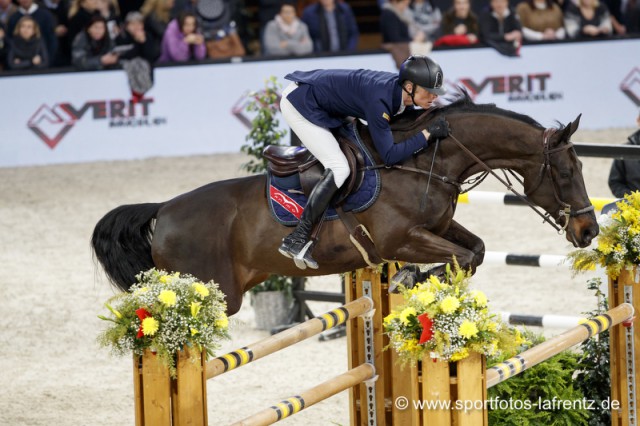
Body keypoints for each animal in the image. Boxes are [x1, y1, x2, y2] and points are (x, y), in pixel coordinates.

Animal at [91, 96, 600, 316]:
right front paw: (411, 278)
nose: (589, 232)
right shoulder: (402, 239)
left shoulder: (436, 228)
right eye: (566, 173)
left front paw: (415, 281)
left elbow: (473, 251)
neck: (423, 160)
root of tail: (163, 210)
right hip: (212, 294)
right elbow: (459, 257)